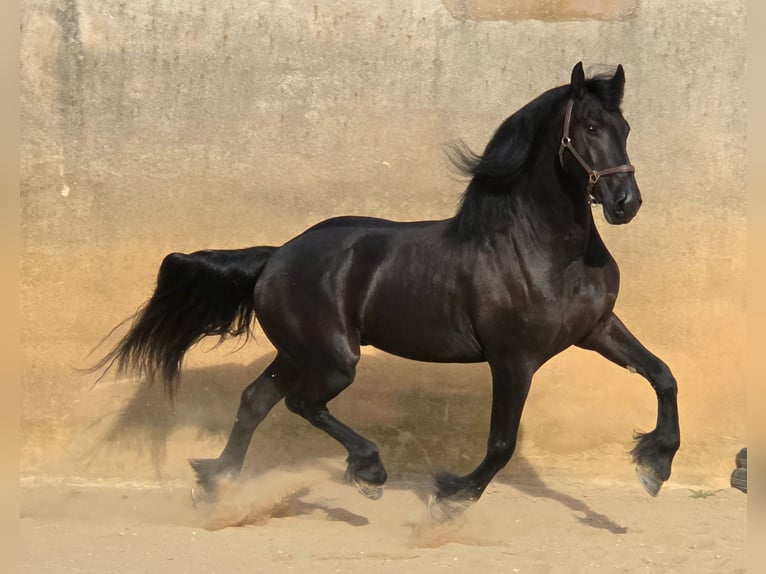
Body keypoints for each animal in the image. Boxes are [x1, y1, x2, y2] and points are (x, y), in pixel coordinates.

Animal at [95, 62, 680, 521]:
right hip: (334, 358)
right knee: (302, 403)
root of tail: (276, 256)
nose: (625, 202)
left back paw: (216, 486)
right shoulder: (514, 359)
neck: (540, 248)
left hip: (297, 352)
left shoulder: (597, 329)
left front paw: (654, 465)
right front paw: (449, 499)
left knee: (255, 401)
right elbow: (501, 442)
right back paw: (369, 472)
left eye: (625, 127)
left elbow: (662, 375)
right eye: (587, 127)